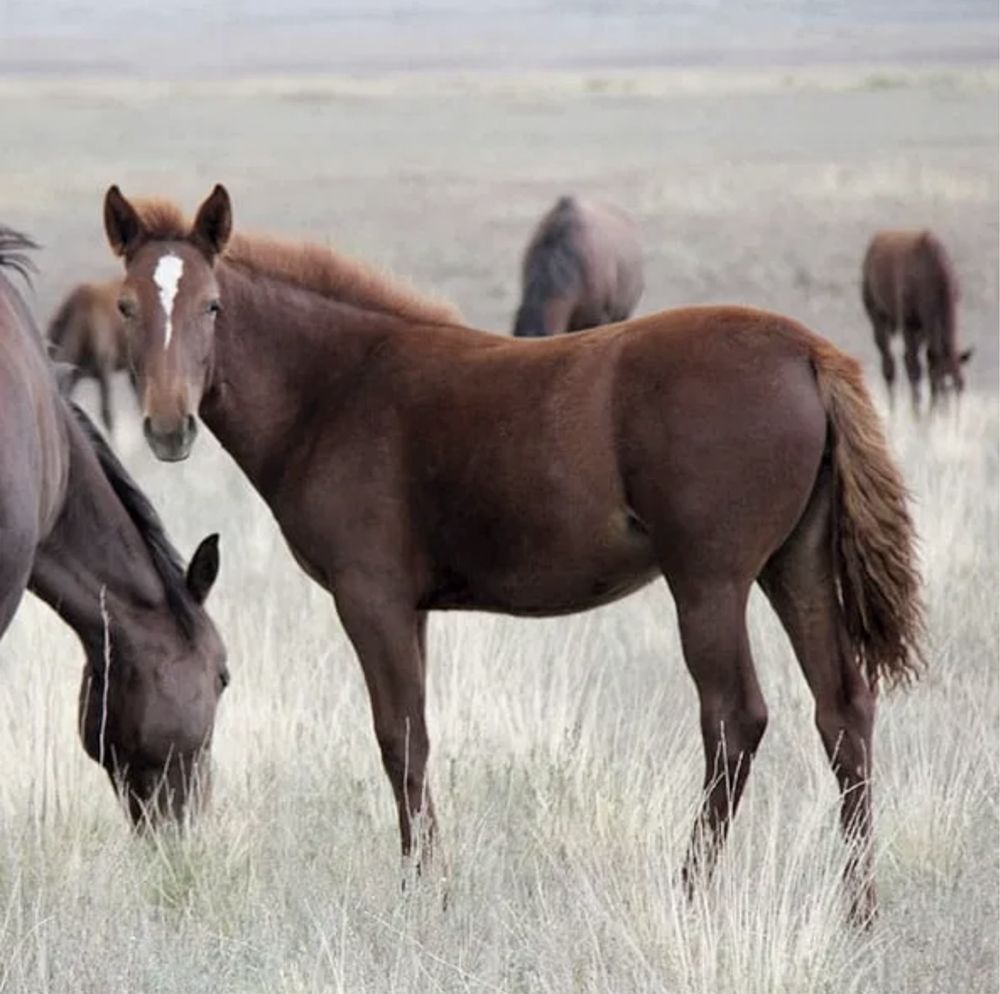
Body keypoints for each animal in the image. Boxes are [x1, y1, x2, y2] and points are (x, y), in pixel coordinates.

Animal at [860, 229, 968, 406]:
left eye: (961, 388)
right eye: (945, 387)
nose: (949, 413)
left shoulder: (925, 325)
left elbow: (927, 361)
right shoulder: (908, 323)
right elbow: (914, 367)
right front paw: (917, 411)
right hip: (878, 317)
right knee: (889, 362)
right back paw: (892, 408)